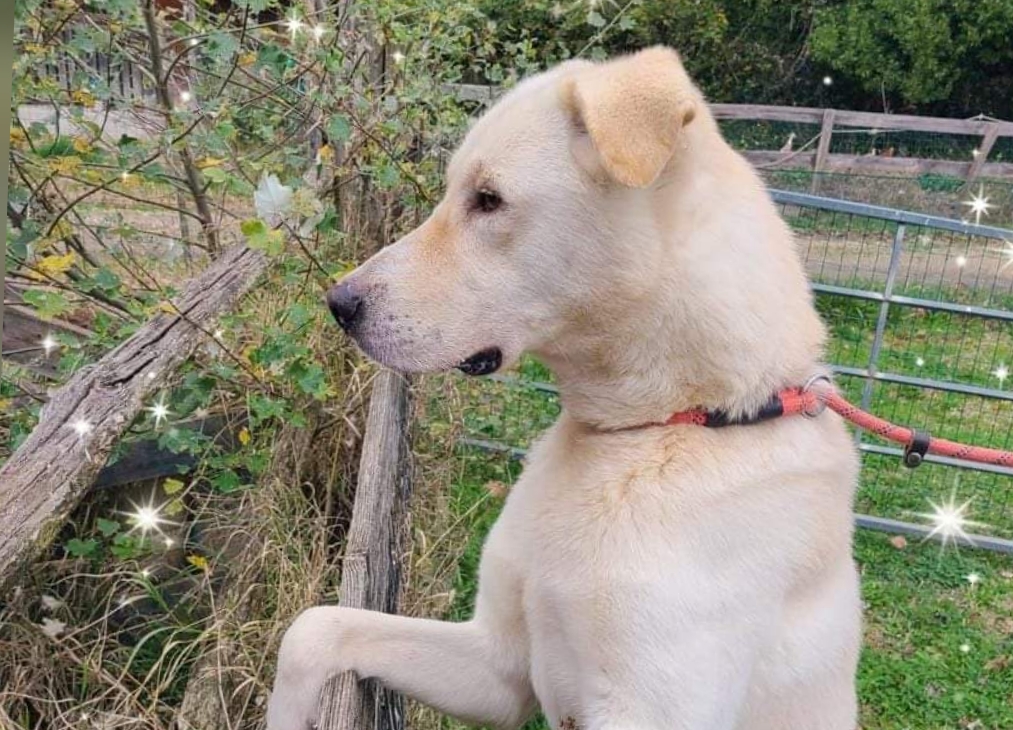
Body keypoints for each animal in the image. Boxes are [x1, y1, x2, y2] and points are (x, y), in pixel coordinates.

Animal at [267, 46, 861, 730]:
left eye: (489, 199)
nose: (339, 304)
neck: (663, 427)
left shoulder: (645, 711)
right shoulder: (499, 666)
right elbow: (313, 627)